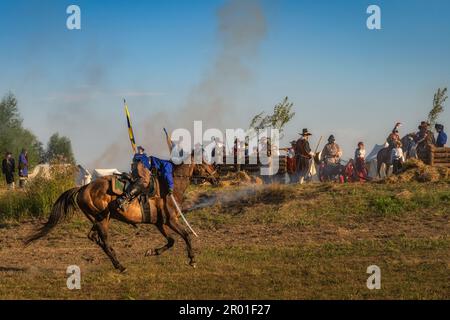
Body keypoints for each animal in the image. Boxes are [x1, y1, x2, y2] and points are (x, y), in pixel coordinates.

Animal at [25, 158, 219, 272]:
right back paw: (120, 266)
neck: (168, 187)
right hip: (102, 220)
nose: (216, 179)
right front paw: (192, 259)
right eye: (205, 164)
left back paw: (116, 262)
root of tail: (83, 188)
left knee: (94, 237)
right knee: (104, 241)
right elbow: (186, 235)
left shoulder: (161, 223)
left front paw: (152, 252)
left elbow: (171, 241)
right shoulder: (171, 221)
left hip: (99, 219)